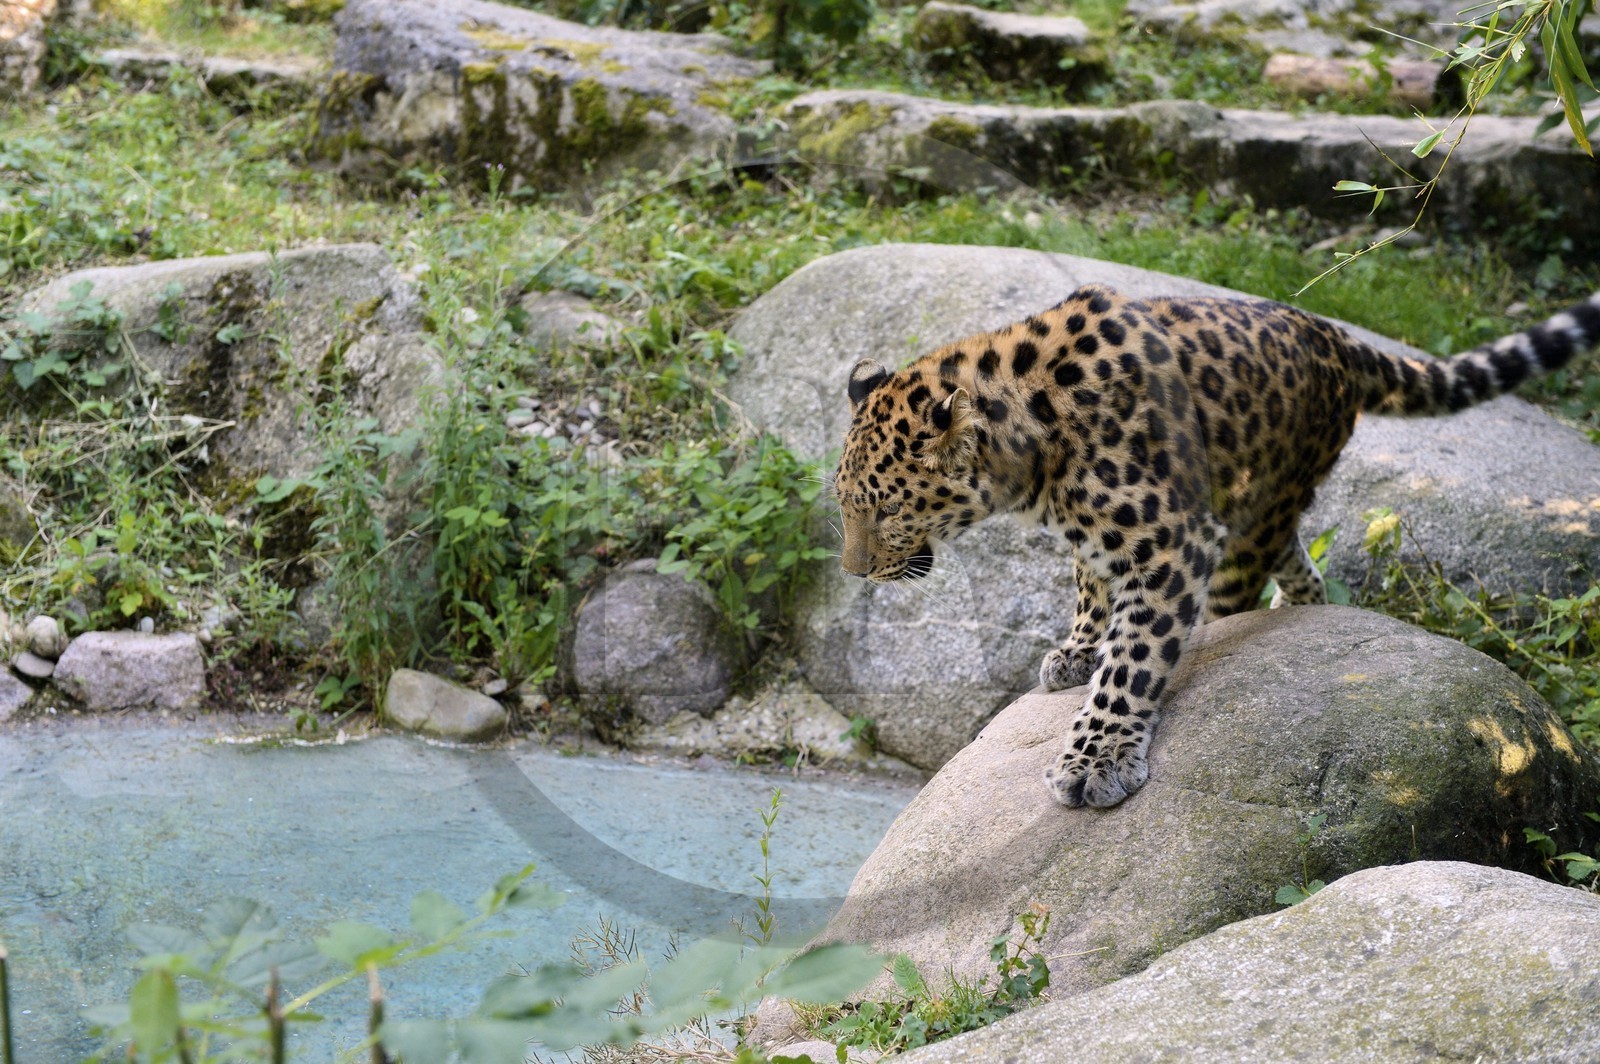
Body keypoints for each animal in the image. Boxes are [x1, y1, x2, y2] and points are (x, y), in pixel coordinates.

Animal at [832, 283, 1600, 809]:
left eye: (888, 508)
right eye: (843, 505)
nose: (856, 571)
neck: (1032, 461)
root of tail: (1331, 334)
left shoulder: (1172, 541)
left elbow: (1136, 656)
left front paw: (1095, 757)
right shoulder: (1097, 533)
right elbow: (1091, 581)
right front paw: (1079, 650)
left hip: (1250, 519)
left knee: (1246, 584)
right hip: (1260, 509)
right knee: (1299, 565)